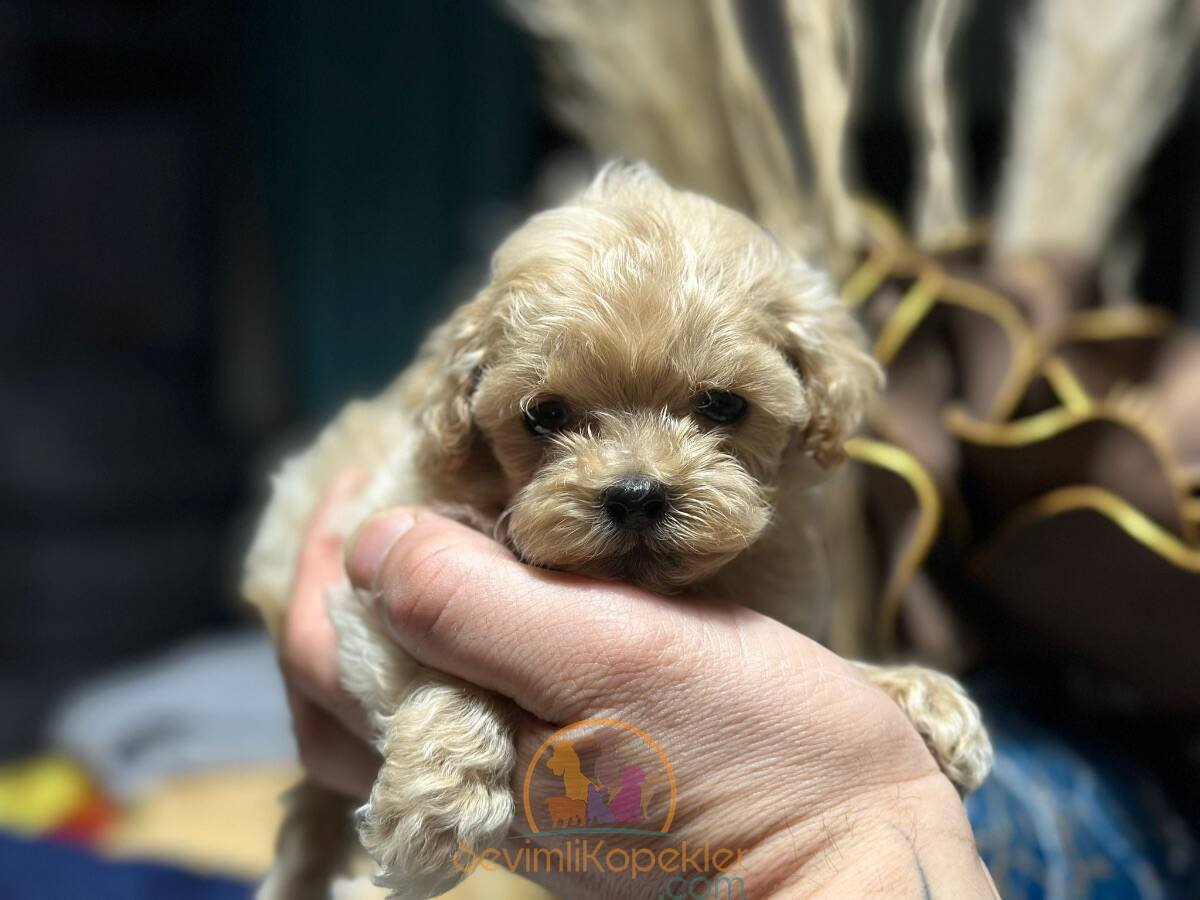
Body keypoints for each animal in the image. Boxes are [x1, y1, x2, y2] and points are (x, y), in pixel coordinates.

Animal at [243, 164, 993, 900]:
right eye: (544, 415)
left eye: (723, 406)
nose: (635, 495)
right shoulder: (380, 538)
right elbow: (446, 664)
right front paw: (439, 799)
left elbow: (831, 660)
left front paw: (915, 692)